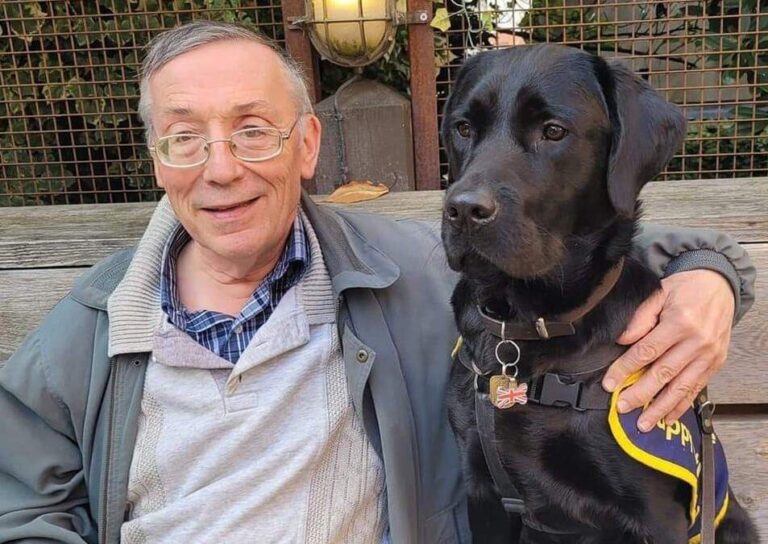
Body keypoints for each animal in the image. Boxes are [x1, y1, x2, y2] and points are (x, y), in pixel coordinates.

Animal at [440, 43, 760, 544]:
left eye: (553, 131)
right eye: (463, 127)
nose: (463, 209)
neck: (523, 325)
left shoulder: (657, 517)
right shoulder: (484, 495)